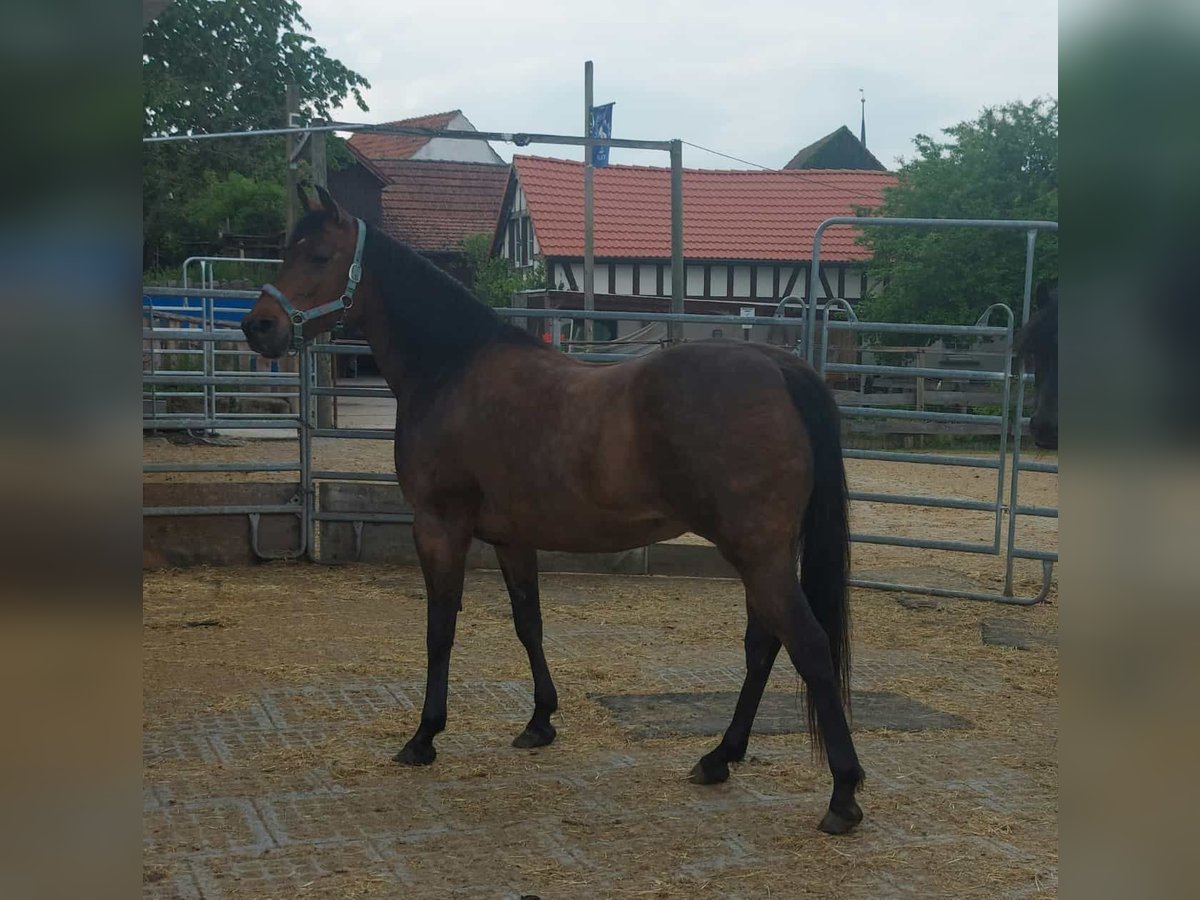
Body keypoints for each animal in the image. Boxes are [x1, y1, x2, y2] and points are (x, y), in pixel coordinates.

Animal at [241, 188, 864, 840]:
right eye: (289, 249)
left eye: (319, 255)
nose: (258, 325)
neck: (451, 368)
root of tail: (780, 368)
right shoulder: (513, 539)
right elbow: (528, 623)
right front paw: (540, 722)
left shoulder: (439, 527)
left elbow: (440, 630)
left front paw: (424, 736)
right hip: (760, 554)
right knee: (764, 644)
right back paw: (720, 757)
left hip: (758, 552)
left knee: (808, 646)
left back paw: (842, 793)